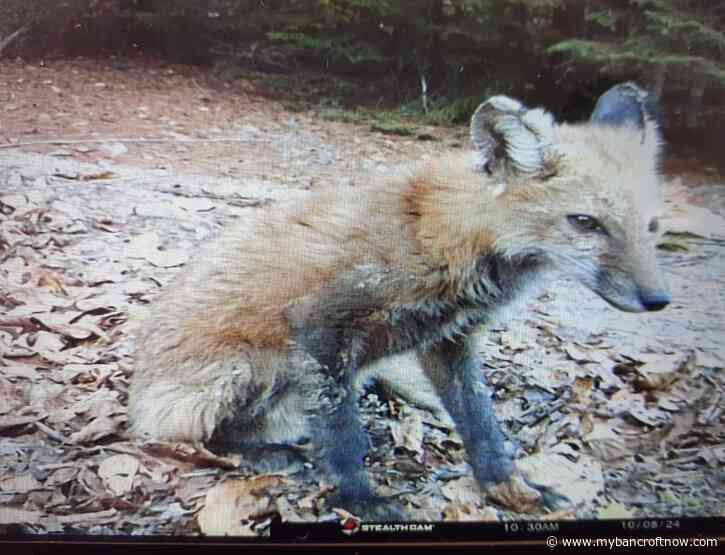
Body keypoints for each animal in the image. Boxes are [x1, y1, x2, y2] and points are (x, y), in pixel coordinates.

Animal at [128, 82, 670, 520]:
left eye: (652, 226)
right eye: (585, 223)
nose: (658, 299)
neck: (455, 238)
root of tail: (136, 391)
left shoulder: (449, 342)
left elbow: (483, 424)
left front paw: (507, 485)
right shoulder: (319, 325)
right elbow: (343, 435)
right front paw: (358, 498)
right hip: (250, 371)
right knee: (182, 437)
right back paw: (258, 455)